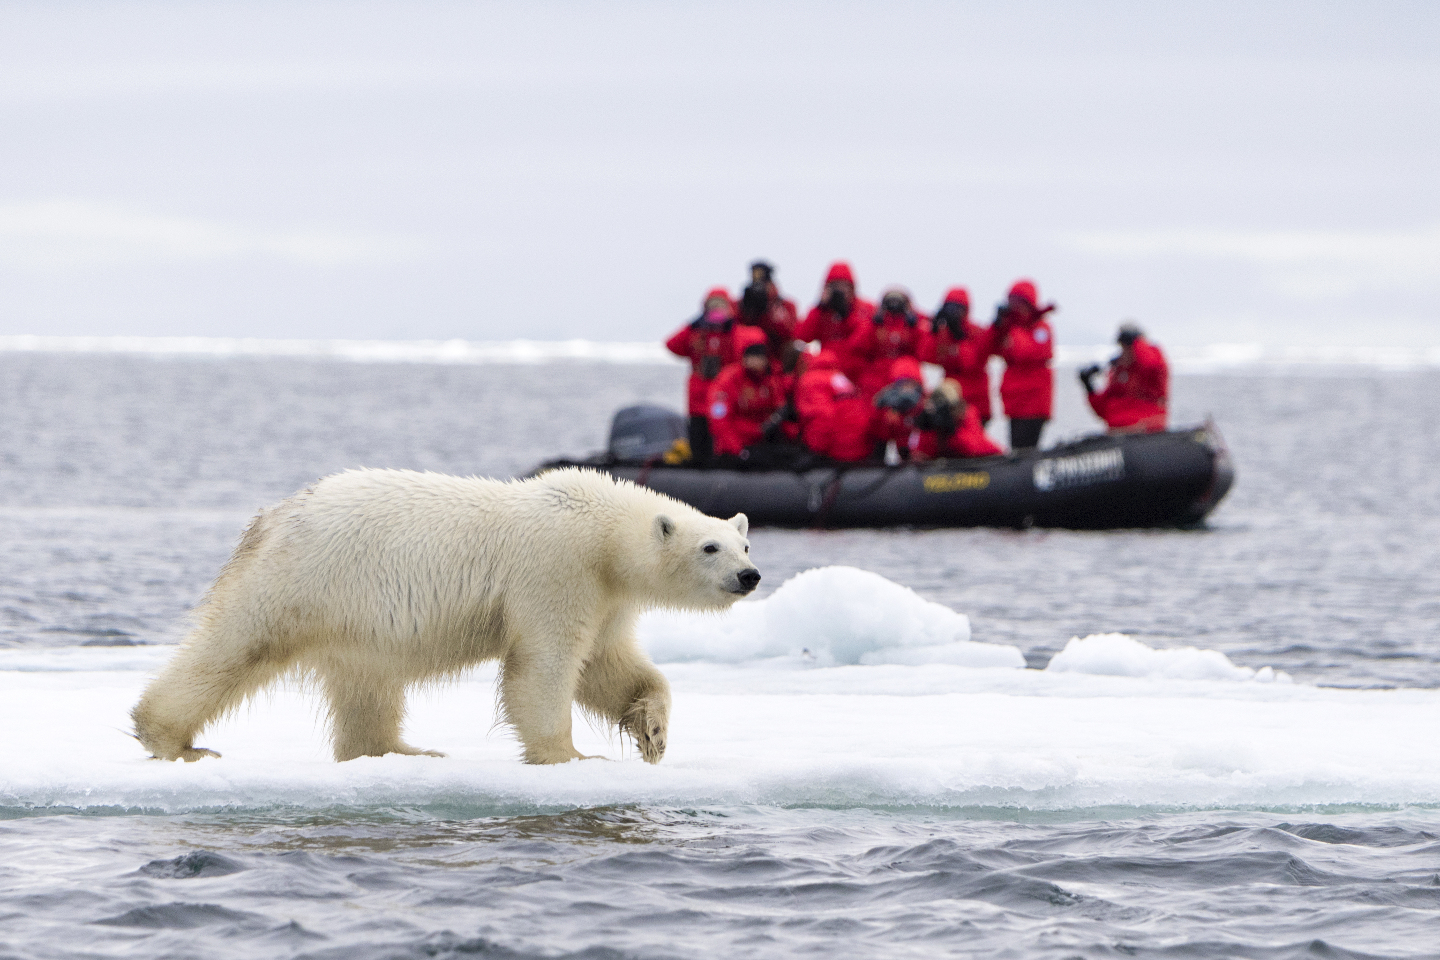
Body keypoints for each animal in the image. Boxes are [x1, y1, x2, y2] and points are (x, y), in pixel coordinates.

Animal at [131, 466, 760, 765]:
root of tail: (271, 517)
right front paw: (572, 754)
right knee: (234, 646)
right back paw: (172, 740)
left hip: (354, 617)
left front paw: (653, 732)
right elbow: (545, 666)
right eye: (710, 547)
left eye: (744, 544)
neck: (604, 532)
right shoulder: (556, 570)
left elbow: (608, 666)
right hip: (304, 580)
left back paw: (402, 750)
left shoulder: (607, 597)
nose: (750, 576)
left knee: (367, 685)